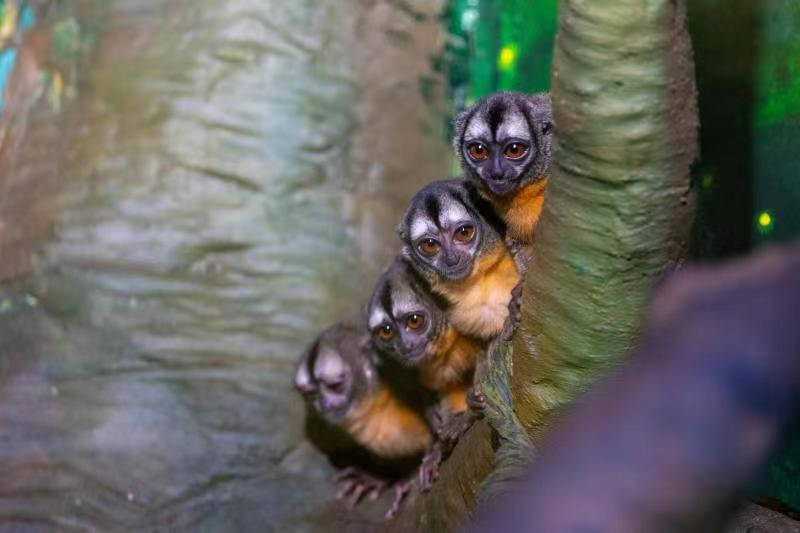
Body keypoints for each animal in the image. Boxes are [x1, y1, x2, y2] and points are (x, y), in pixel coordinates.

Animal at [294, 313, 434, 518]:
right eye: (311, 393)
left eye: (335, 385)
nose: (324, 404)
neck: (372, 400)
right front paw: (377, 479)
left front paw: (400, 481)